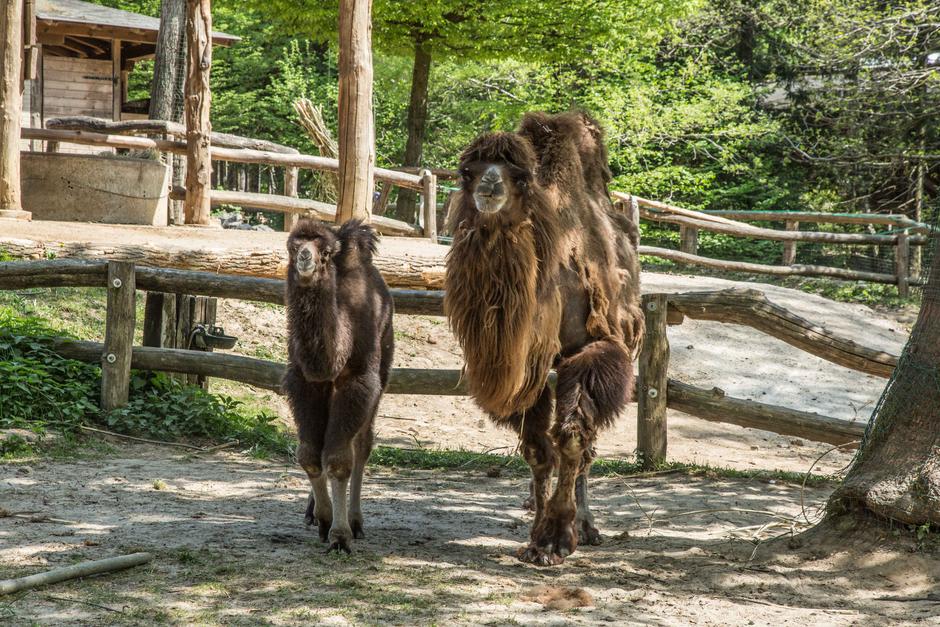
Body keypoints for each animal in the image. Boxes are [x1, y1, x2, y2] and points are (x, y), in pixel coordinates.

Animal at [282, 218, 392, 552]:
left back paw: (356, 521)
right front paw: (324, 517)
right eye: (292, 246)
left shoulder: (358, 381)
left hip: (383, 370)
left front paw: (340, 534)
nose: (305, 257)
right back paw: (313, 512)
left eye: (327, 252)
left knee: (362, 445)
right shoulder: (303, 381)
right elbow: (309, 454)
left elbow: (340, 459)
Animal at [444, 110, 644, 568]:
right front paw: (537, 532)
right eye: (467, 172)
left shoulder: (593, 349)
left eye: (519, 176)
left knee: (588, 444)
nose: (489, 185)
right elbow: (538, 450)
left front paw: (555, 540)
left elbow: (571, 439)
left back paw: (587, 526)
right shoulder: (529, 367)